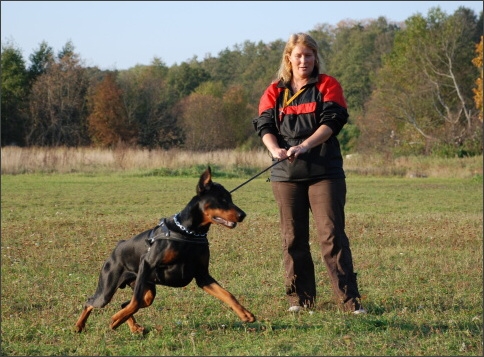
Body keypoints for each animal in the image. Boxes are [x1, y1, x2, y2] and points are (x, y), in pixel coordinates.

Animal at [73, 165, 255, 332]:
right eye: (221, 199)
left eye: (230, 198)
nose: (243, 215)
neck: (189, 233)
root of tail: (118, 247)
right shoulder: (147, 263)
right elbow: (135, 302)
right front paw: (114, 320)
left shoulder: (202, 275)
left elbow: (227, 294)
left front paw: (245, 314)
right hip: (110, 287)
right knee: (91, 302)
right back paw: (80, 325)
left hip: (146, 288)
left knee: (126, 303)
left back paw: (133, 327)